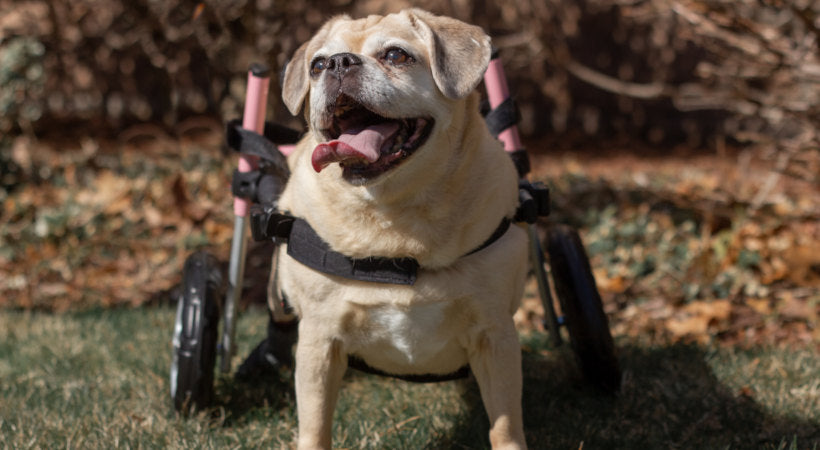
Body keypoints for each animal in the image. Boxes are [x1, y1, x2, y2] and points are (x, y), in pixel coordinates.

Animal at [272, 7, 528, 450]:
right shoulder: (319, 341)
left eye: (396, 55)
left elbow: (506, 423)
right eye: (317, 66)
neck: (396, 213)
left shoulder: (495, 336)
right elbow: (315, 424)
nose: (338, 63)